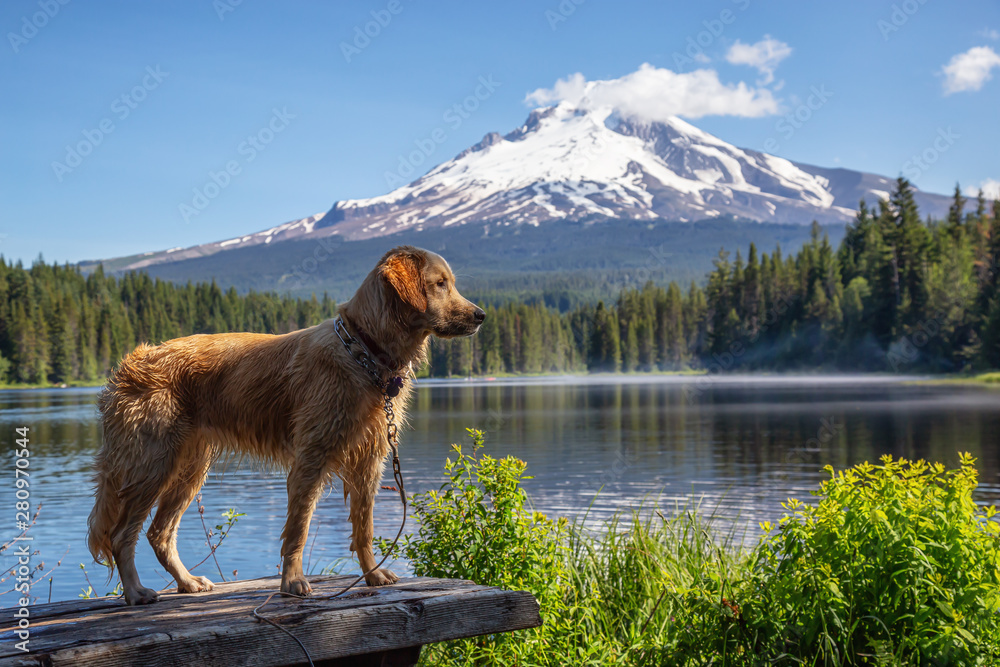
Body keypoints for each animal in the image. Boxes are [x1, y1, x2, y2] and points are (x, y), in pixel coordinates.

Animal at [86, 245, 484, 604]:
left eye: (450, 283)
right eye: (440, 284)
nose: (481, 315)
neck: (363, 352)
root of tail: (130, 364)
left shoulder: (369, 461)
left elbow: (364, 528)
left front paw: (372, 574)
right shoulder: (311, 457)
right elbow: (298, 530)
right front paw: (292, 582)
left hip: (189, 467)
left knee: (159, 533)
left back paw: (186, 581)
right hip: (152, 464)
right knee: (122, 534)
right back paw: (136, 592)